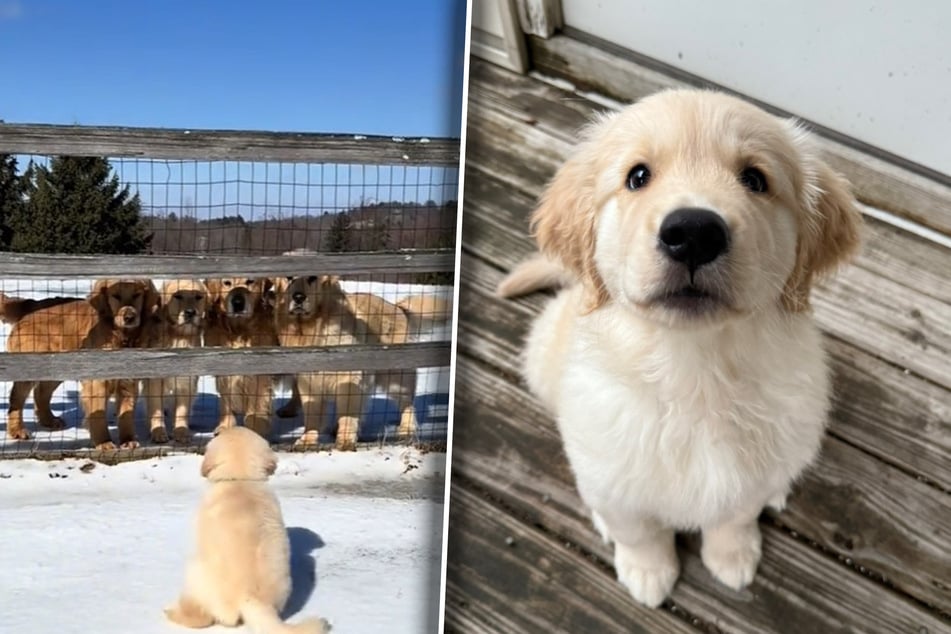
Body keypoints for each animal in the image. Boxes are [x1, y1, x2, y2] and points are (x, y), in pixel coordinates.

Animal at [6, 278, 158, 446]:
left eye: (137, 295)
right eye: (115, 296)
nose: (129, 317)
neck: (121, 336)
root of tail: (32, 304)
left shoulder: (128, 381)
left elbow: (126, 414)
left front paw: (128, 441)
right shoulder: (96, 383)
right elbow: (98, 415)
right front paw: (104, 443)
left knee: (41, 392)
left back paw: (49, 420)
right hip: (29, 368)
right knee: (17, 398)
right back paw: (17, 430)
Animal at [143, 278, 208, 442]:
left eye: (198, 297)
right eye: (177, 296)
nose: (190, 312)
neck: (179, 336)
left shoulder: (186, 381)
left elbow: (182, 409)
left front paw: (181, 431)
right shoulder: (155, 381)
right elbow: (156, 408)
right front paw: (158, 432)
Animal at [162, 424, 330, 632]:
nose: (217, 430)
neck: (241, 479)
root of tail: (252, 600)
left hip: (195, 571)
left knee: (201, 618)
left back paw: (173, 613)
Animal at [205, 276, 278, 440]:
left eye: (250, 281)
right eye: (227, 283)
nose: (238, 302)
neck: (239, 330)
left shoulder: (260, 375)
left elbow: (256, 405)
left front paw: (255, 428)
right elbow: (226, 403)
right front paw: (225, 428)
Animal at [498, 86, 864, 604]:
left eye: (755, 178)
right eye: (637, 176)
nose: (693, 233)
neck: (694, 368)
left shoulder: (746, 477)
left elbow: (735, 516)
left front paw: (732, 557)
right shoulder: (610, 472)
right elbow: (638, 529)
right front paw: (648, 571)